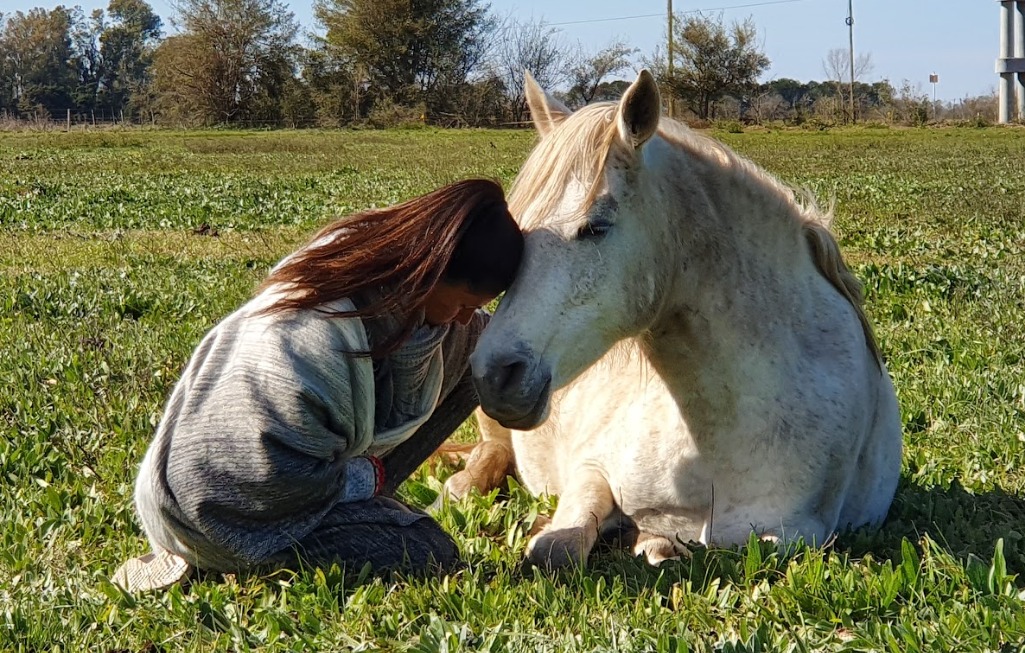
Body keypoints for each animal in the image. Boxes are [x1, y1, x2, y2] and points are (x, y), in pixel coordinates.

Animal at [442, 70, 902, 569]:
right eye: (517, 233)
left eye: (596, 226)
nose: (494, 374)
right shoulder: (591, 469)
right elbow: (557, 547)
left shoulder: (795, 534)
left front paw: (650, 541)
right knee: (488, 455)